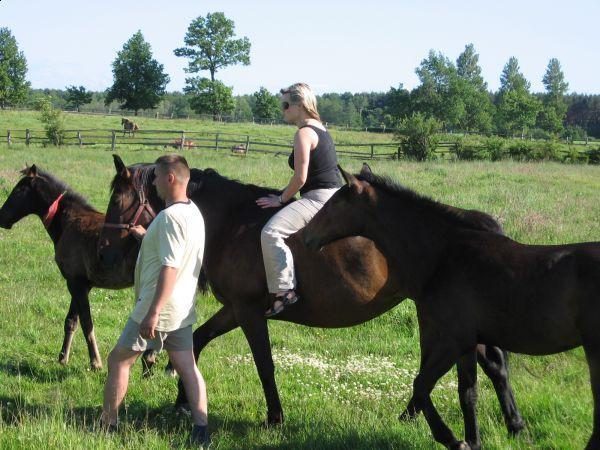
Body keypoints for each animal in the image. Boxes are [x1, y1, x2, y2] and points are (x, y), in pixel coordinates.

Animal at [0, 165, 157, 372]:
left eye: (18, 190)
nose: (1, 218)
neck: (67, 221)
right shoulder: (81, 283)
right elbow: (71, 321)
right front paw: (63, 358)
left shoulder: (76, 282)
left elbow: (85, 322)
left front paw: (95, 362)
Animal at [98, 155, 524, 446]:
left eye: (117, 200)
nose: (103, 253)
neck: (232, 222)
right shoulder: (235, 309)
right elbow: (199, 341)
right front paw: (184, 399)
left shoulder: (249, 312)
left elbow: (264, 365)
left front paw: (274, 417)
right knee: (489, 367)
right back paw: (502, 423)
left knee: (484, 366)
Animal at [304, 166, 600, 450]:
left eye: (334, 203)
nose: (307, 237)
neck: (443, 256)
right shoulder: (465, 342)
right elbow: (464, 391)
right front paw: (472, 440)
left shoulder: (454, 340)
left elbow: (427, 385)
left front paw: (455, 440)